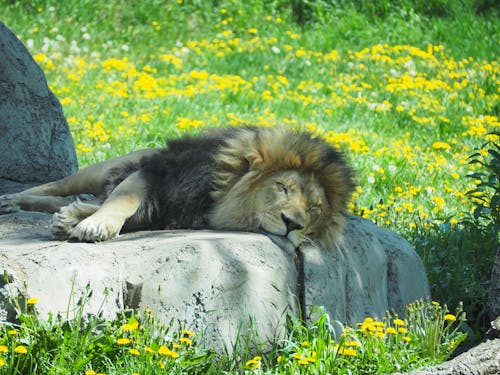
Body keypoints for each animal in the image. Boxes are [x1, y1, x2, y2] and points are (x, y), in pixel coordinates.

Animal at [0, 126, 356, 250]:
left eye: (315, 209)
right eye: (282, 187)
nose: (293, 224)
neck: (218, 198)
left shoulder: (162, 213)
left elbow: (126, 212)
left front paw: (73, 220)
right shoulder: (151, 174)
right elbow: (122, 202)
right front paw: (94, 226)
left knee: (68, 199)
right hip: (98, 170)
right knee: (52, 187)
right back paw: (11, 201)